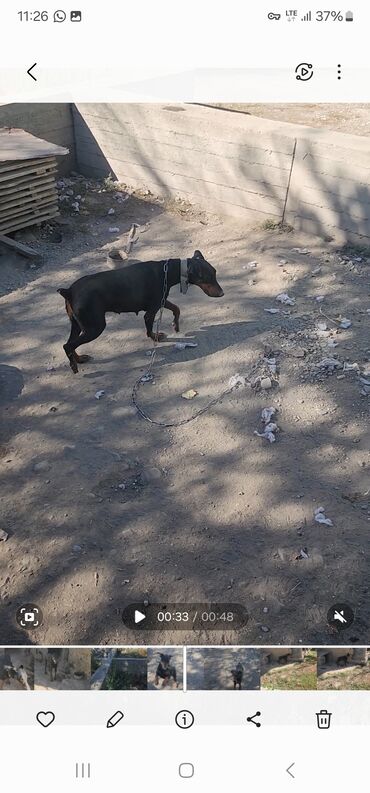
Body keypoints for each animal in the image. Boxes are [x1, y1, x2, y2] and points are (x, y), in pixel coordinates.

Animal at [59, 249, 224, 372]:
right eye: (208, 277)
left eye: (215, 273)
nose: (222, 294)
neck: (168, 271)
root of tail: (69, 291)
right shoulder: (151, 311)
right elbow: (149, 328)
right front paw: (155, 337)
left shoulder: (160, 301)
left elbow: (176, 308)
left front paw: (175, 325)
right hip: (95, 327)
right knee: (68, 345)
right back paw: (74, 365)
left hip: (78, 324)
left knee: (70, 343)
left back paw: (79, 359)